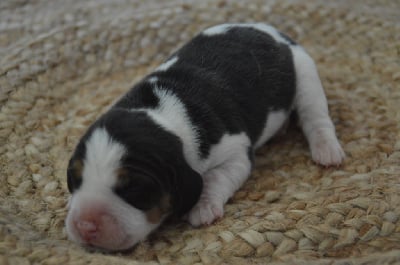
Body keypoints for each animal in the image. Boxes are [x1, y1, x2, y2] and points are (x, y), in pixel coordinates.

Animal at [65, 22, 344, 250]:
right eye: (75, 178)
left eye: (133, 188)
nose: (85, 226)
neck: (161, 113)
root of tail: (272, 30)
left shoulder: (236, 151)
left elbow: (215, 177)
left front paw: (203, 207)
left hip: (306, 74)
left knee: (316, 117)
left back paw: (327, 151)